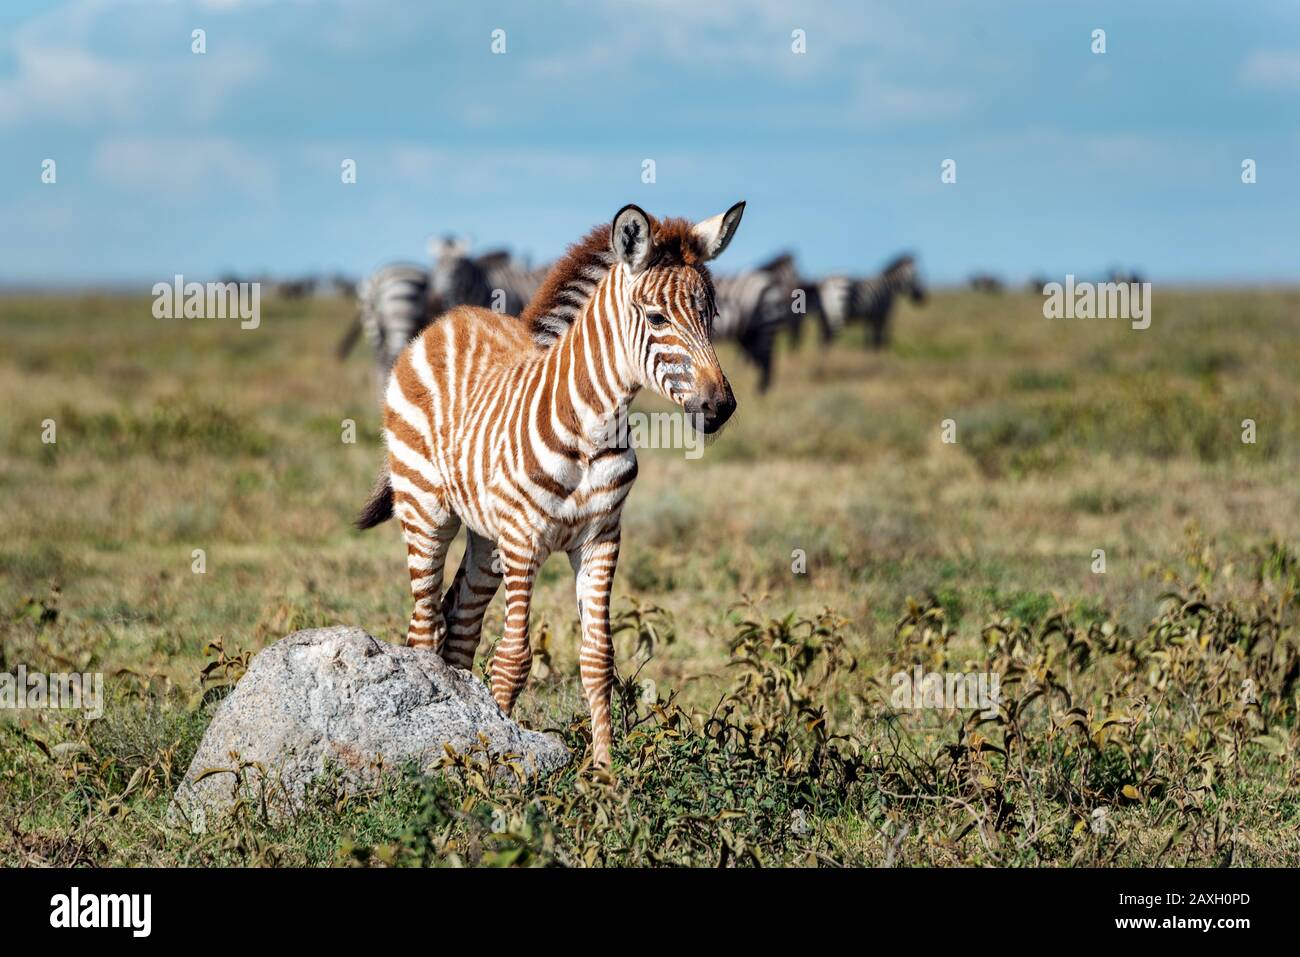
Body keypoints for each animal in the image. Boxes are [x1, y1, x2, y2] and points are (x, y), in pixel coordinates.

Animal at [355, 201, 745, 770]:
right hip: (427, 512)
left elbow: (598, 657)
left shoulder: (601, 539)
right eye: (657, 318)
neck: (592, 425)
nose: (720, 408)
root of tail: (451, 318)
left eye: (711, 317)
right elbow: (514, 659)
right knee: (424, 627)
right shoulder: (524, 540)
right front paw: (502, 764)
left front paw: (602, 771)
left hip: (486, 540)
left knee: (459, 627)